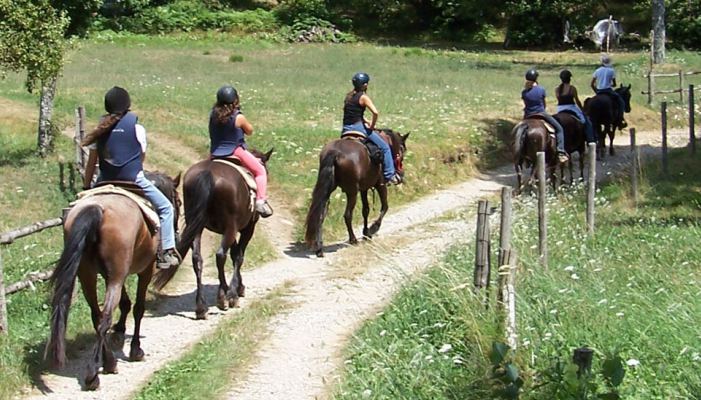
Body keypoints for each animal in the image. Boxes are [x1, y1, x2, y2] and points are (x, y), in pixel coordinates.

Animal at [44, 171, 179, 390]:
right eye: (178, 201)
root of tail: (98, 209)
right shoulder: (145, 270)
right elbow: (138, 308)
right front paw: (135, 349)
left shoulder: (113, 273)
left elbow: (125, 303)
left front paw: (119, 332)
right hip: (115, 275)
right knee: (105, 316)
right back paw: (94, 374)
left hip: (89, 275)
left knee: (97, 315)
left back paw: (108, 362)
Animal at [152, 148, 272, 320]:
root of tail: (207, 173)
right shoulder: (247, 228)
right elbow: (238, 256)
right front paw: (235, 291)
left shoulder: (225, 230)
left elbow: (234, 253)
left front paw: (236, 287)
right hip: (230, 227)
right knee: (220, 255)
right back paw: (224, 298)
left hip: (197, 226)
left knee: (197, 259)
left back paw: (201, 307)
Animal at [304, 130, 408, 258]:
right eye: (402, 150)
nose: (401, 174)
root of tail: (336, 153)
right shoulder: (380, 185)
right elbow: (385, 207)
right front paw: (372, 229)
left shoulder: (364, 189)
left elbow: (365, 210)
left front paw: (366, 233)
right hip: (352, 192)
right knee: (348, 215)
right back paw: (353, 239)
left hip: (327, 193)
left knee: (320, 215)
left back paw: (319, 248)